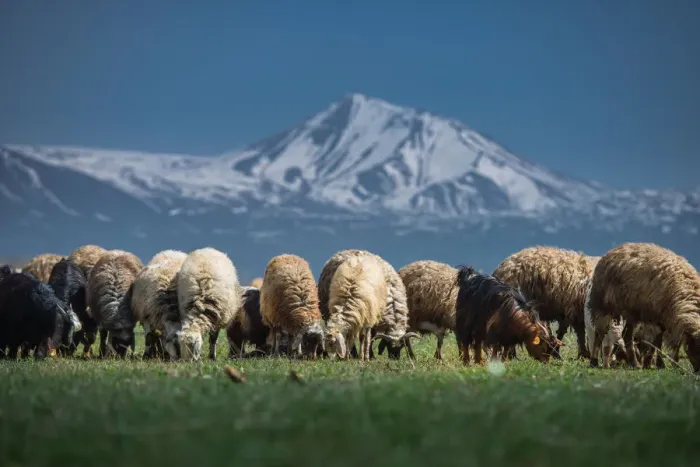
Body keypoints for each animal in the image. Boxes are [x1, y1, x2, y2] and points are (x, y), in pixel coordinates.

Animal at [587, 242, 700, 372]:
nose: (698, 371)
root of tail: (612, 251)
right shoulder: (657, 314)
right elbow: (658, 342)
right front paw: (658, 363)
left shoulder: (663, 317)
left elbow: (659, 342)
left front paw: (658, 363)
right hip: (603, 305)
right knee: (599, 333)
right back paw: (595, 361)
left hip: (630, 312)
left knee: (626, 336)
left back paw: (633, 362)